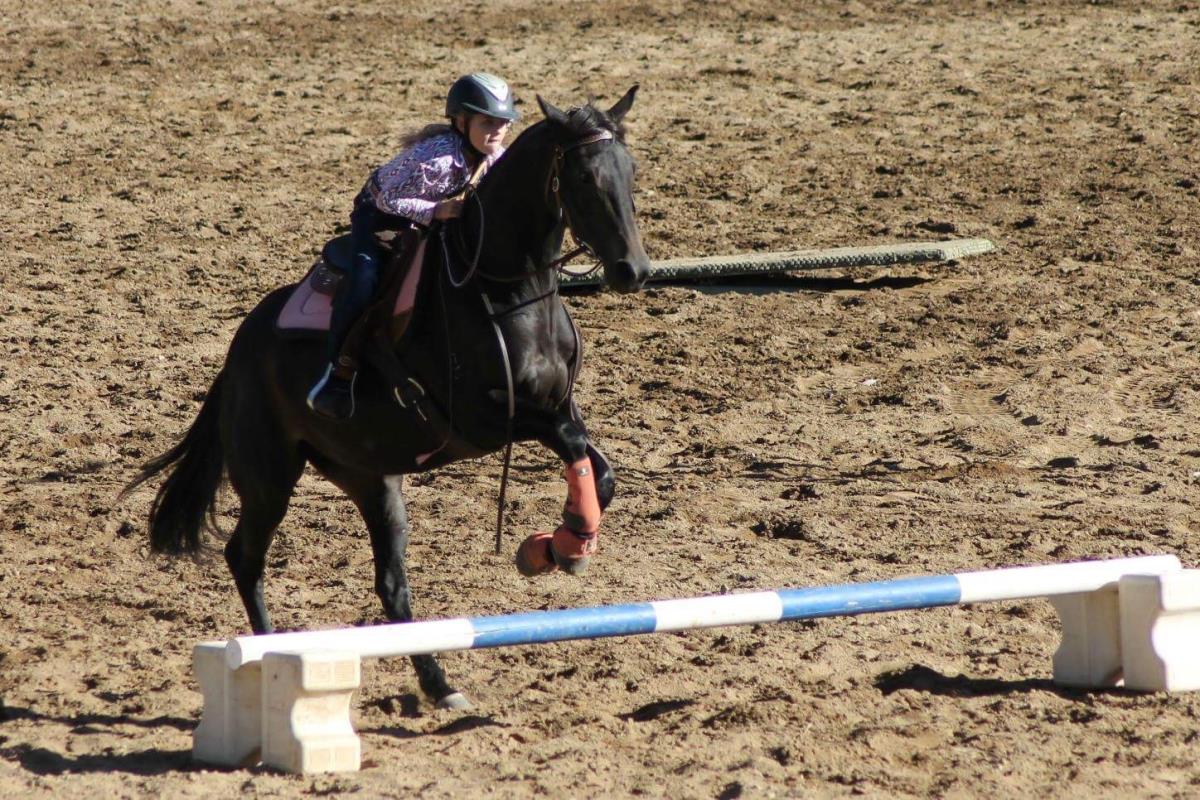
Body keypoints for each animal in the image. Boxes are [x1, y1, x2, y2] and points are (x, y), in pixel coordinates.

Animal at [124, 87, 650, 709]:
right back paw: (267, 660)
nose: (633, 270)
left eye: (630, 171)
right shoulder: (482, 419)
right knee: (245, 558)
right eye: (586, 177)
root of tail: (236, 355)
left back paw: (440, 684)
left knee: (392, 586)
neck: (509, 287)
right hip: (269, 476)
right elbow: (570, 442)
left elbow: (598, 467)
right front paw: (559, 547)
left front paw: (558, 543)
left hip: (372, 480)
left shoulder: (556, 406)